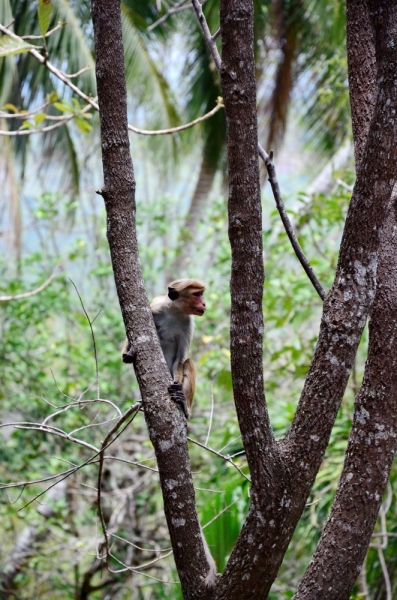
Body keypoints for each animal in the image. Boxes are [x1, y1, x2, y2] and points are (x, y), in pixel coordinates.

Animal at [122, 278, 206, 420]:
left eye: (201, 294)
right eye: (196, 294)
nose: (204, 303)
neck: (175, 312)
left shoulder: (188, 322)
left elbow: (181, 359)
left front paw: (177, 388)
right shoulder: (155, 309)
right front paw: (128, 354)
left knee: (188, 362)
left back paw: (185, 406)